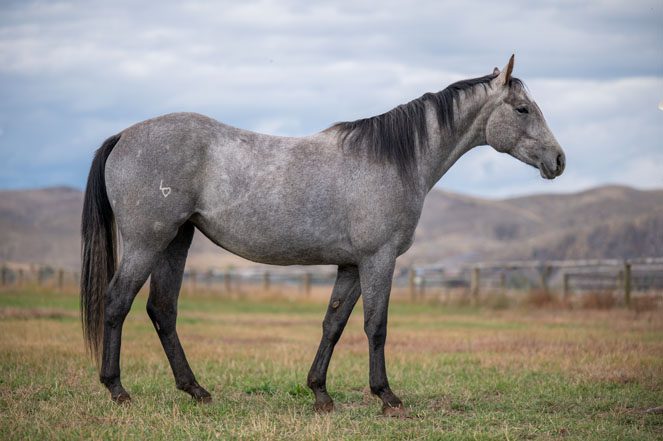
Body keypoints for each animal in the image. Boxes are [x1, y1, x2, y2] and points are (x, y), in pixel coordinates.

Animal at [80, 55, 565, 416]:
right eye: (523, 109)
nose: (559, 160)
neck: (393, 159)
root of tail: (124, 135)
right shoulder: (378, 259)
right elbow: (376, 326)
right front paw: (386, 396)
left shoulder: (350, 265)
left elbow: (334, 323)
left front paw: (320, 393)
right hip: (147, 242)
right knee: (117, 302)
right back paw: (117, 390)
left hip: (175, 241)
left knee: (162, 309)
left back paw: (195, 390)